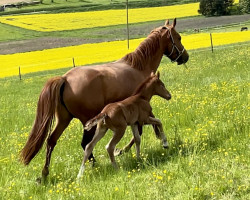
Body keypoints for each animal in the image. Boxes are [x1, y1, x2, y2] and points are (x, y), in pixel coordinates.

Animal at [20, 19, 188, 181]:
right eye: (178, 37)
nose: (185, 56)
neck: (138, 67)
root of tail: (65, 79)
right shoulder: (140, 111)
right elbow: (142, 131)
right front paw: (127, 149)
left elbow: (142, 131)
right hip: (86, 121)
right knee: (85, 143)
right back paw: (94, 166)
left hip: (64, 119)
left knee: (51, 141)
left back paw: (44, 174)